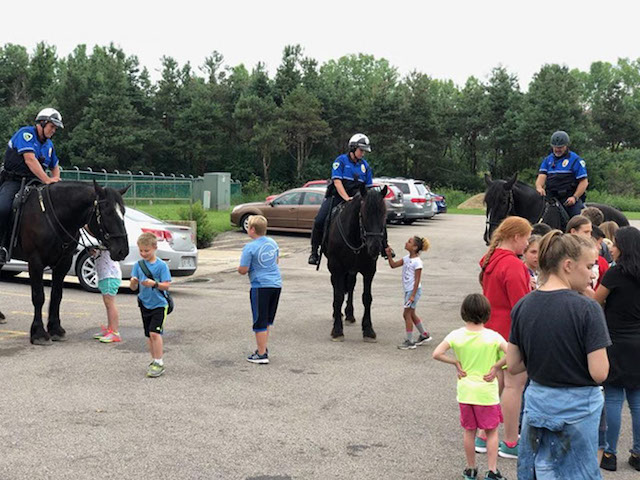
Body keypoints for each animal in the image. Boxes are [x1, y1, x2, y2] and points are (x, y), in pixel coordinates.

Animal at [6, 181, 130, 344]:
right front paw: (39, 333)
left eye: (123, 212)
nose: (123, 250)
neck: (52, 216)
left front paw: (55, 329)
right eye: (107, 212)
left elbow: (56, 295)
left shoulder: (63, 263)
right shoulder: (35, 262)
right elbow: (38, 296)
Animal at [324, 184, 384, 342]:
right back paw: (337, 313)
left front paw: (368, 329)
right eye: (363, 214)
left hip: (352, 269)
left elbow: (367, 297)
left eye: (384, 215)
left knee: (350, 286)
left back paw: (349, 314)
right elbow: (338, 296)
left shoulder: (369, 269)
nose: (375, 247)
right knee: (336, 287)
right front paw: (337, 330)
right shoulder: (336, 267)